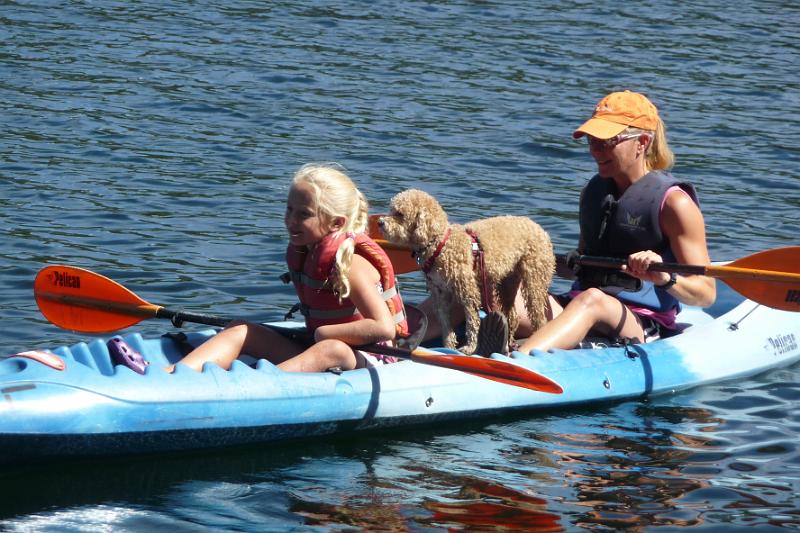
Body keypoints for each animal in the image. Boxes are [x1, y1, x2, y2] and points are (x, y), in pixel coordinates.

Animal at [378, 189, 552, 356]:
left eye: (400, 214)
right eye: (391, 209)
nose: (380, 222)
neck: (440, 244)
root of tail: (539, 228)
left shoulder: (469, 292)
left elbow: (472, 322)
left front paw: (470, 347)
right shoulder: (440, 294)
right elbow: (446, 325)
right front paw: (448, 346)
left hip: (534, 279)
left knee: (538, 316)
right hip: (508, 282)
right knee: (512, 316)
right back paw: (507, 341)